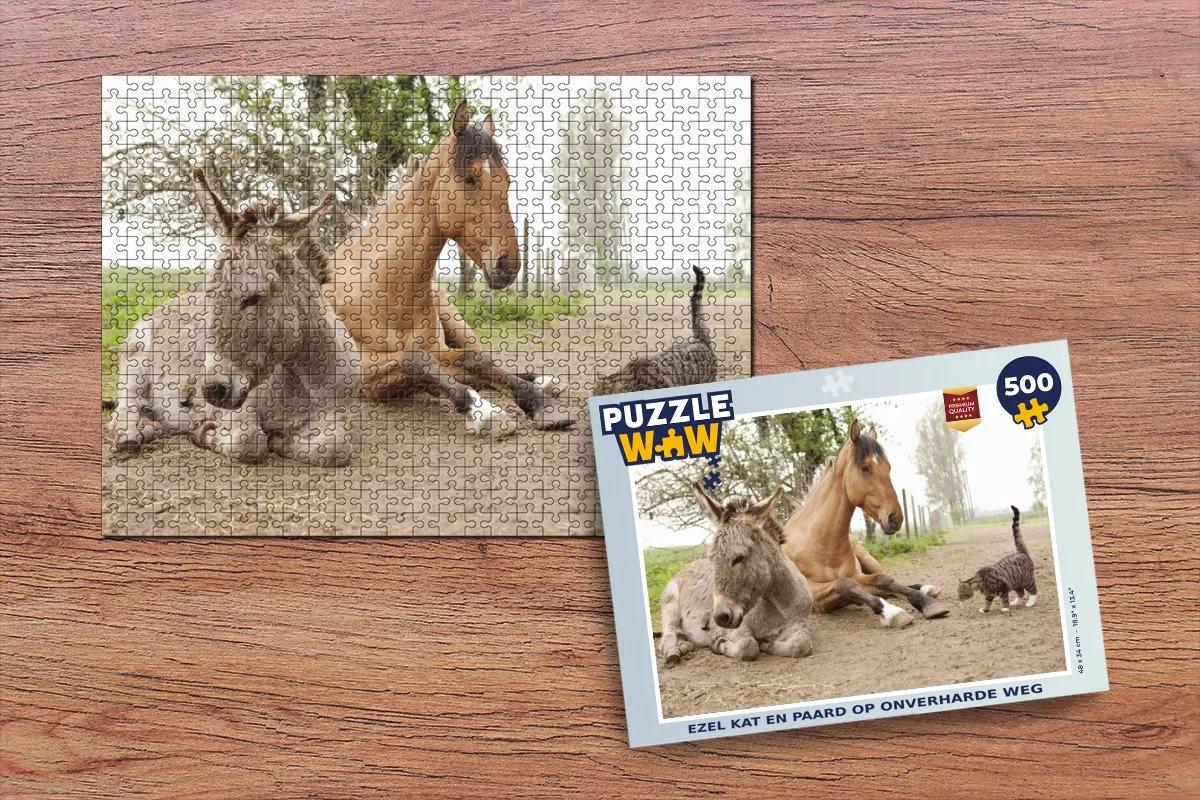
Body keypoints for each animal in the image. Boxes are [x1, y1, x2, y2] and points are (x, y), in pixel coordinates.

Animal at [107, 168, 360, 467]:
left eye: (253, 298)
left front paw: (284, 441)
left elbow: (334, 447)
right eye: (209, 293)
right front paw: (206, 433)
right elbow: (249, 441)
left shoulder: (338, 413)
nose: (211, 390)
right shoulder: (238, 409)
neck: (302, 380)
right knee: (123, 409)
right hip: (134, 364)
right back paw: (131, 435)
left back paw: (151, 427)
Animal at [327, 100, 571, 437]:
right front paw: (484, 412)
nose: (508, 265)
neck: (382, 288)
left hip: (457, 324)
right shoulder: (365, 374)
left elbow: (478, 360)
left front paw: (538, 404)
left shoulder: (438, 349)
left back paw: (541, 382)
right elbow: (418, 361)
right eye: (469, 179)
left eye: (507, 180)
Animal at [659, 484, 814, 665]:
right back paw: (673, 652)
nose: (720, 618)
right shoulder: (738, 629)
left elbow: (802, 645)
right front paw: (719, 644)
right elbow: (748, 646)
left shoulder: (799, 623)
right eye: (711, 559)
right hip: (670, 606)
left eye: (739, 558)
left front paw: (768, 643)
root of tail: (685, 568)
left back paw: (684, 645)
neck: (778, 606)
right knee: (668, 633)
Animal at [779, 420, 949, 628]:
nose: (895, 518)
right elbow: (846, 584)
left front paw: (926, 603)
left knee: (890, 579)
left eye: (888, 467)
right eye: (865, 467)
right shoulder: (816, 594)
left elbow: (884, 580)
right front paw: (892, 612)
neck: (819, 541)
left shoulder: (859, 576)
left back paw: (927, 589)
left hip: (868, 559)